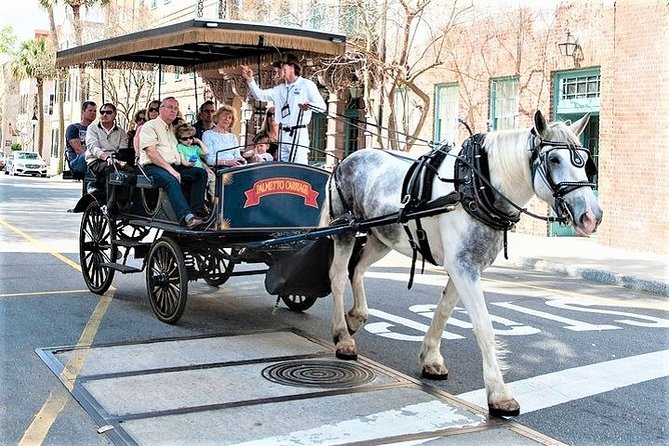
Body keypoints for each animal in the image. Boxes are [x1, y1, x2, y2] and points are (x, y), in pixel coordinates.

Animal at [318, 110, 600, 416]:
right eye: (554, 159)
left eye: (586, 163)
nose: (591, 216)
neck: (476, 186)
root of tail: (344, 160)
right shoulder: (463, 267)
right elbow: (484, 326)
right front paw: (499, 394)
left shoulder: (466, 266)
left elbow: (444, 310)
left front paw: (430, 358)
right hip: (344, 230)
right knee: (337, 277)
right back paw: (343, 337)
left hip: (382, 236)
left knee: (357, 269)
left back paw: (356, 316)